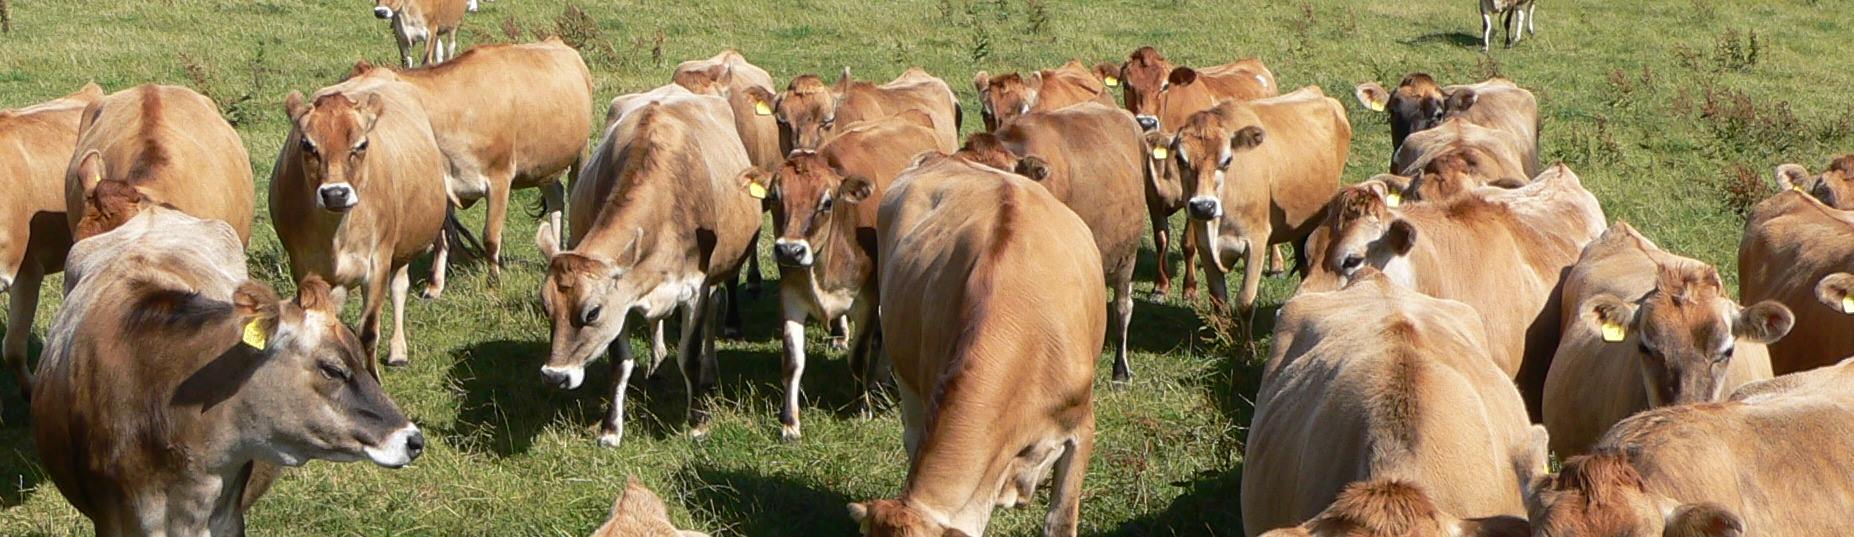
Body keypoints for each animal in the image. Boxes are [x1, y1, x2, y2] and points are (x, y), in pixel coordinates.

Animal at [273, 76, 449, 373]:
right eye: (307, 145)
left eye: (362, 144)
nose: (335, 193)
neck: (336, 234)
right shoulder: (305, 267)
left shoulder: (378, 262)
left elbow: (368, 329)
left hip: (401, 247)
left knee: (399, 287)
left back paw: (398, 350)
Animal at [347, 37, 592, 286]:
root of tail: (557, 42)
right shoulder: (446, 184)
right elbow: (444, 237)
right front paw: (436, 284)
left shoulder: (500, 177)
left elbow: (490, 236)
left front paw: (494, 281)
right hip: (542, 165)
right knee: (556, 196)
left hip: (581, 151)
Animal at [535, 84, 758, 447]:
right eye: (546, 307)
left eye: (592, 312)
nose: (555, 376)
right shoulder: (623, 298)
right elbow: (619, 364)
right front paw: (611, 429)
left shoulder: (696, 288)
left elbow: (690, 355)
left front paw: (697, 422)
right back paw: (656, 362)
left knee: (715, 310)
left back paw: (709, 370)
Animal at [738, 111, 940, 441]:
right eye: (775, 197)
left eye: (827, 202)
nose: (790, 250)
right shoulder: (791, 298)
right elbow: (793, 361)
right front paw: (790, 423)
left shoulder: (867, 302)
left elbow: (858, 357)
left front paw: (862, 407)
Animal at [1175, 87, 1349, 316]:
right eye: (1179, 159)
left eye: (1227, 160)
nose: (1204, 207)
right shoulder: (1205, 245)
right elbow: (1219, 303)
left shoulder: (1255, 242)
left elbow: (1245, 302)